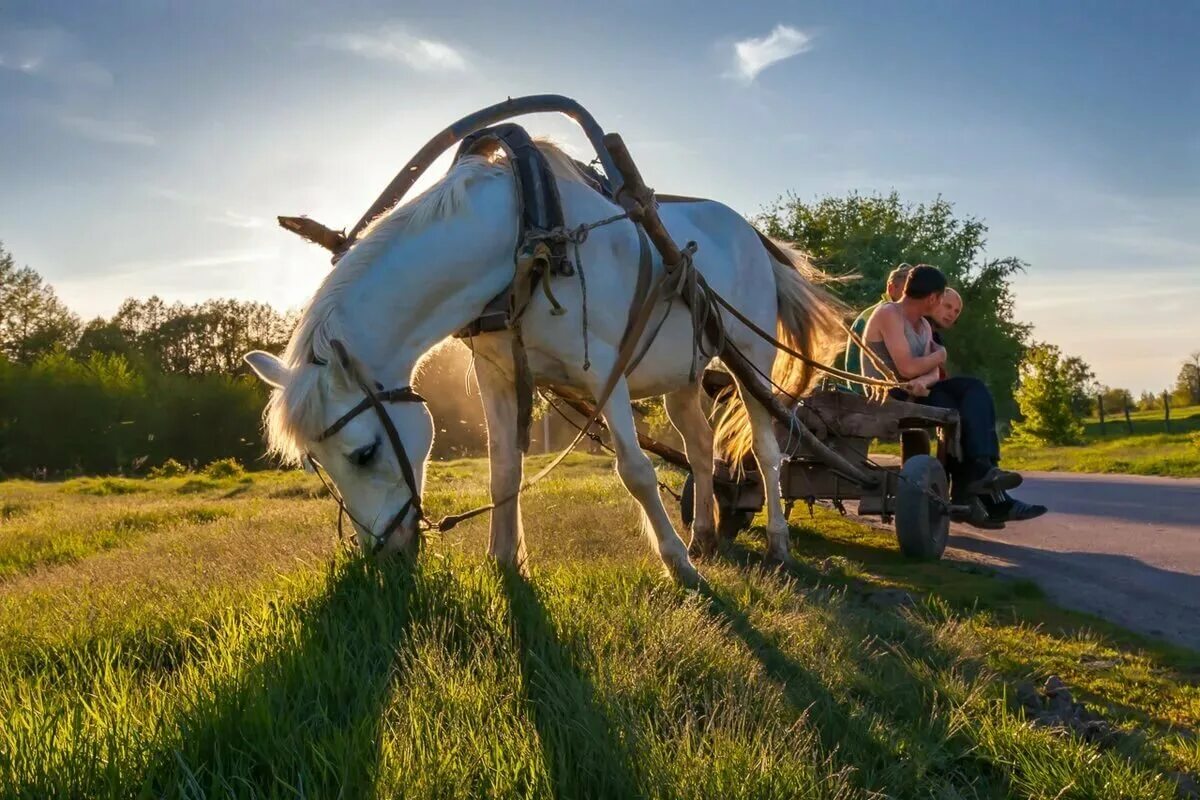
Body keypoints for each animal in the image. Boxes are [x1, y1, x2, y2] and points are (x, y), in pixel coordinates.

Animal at [246, 142, 844, 582]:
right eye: (317, 465)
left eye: (365, 453)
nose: (387, 556)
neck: (525, 240)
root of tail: (753, 235)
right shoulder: (498, 376)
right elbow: (503, 470)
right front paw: (504, 561)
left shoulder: (605, 371)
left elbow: (636, 471)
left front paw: (677, 566)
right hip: (684, 375)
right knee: (699, 447)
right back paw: (704, 535)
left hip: (750, 361)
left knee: (766, 452)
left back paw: (775, 543)